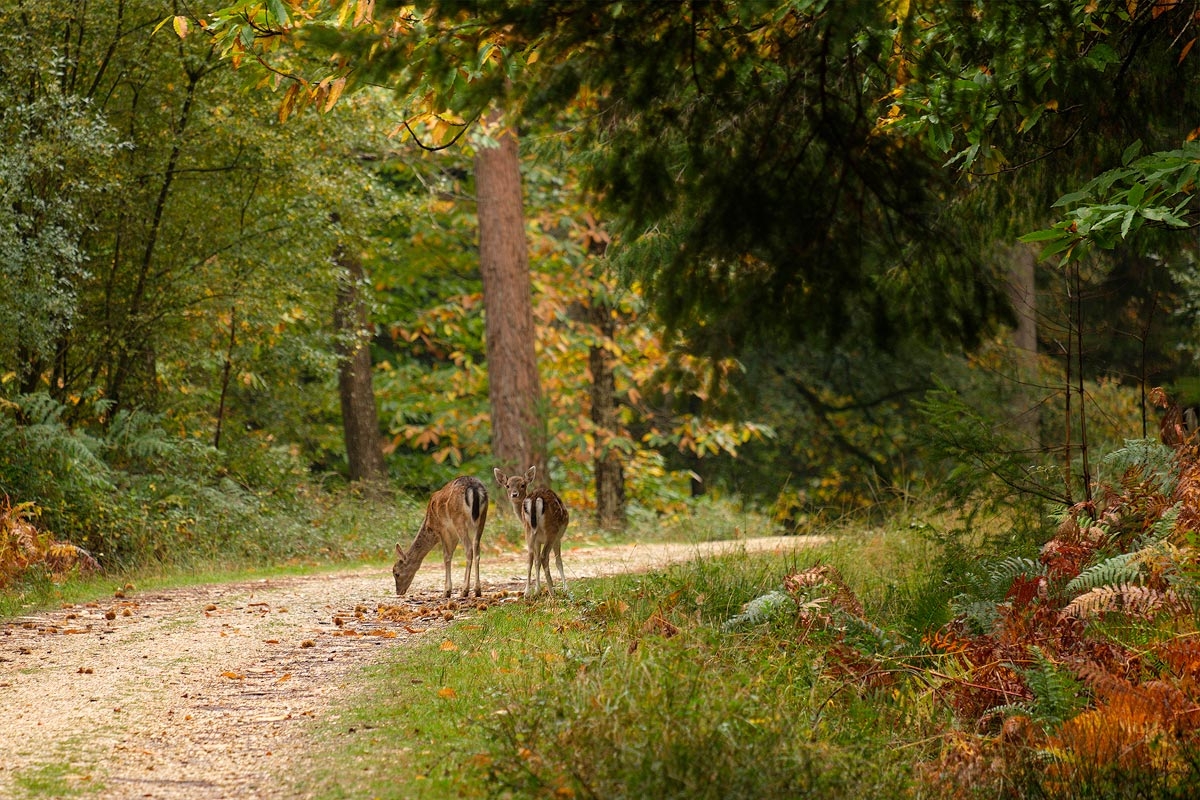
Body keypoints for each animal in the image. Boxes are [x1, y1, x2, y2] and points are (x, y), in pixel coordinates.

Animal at [489, 465, 568, 597]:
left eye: (522, 485)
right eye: (507, 485)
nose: (514, 494)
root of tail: (535, 498)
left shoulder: (537, 540)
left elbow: (536, 561)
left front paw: (537, 590)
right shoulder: (557, 538)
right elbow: (558, 561)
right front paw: (565, 588)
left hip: (529, 531)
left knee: (530, 557)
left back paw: (526, 592)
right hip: (551, 531)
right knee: (544, 557)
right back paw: (552, 591)